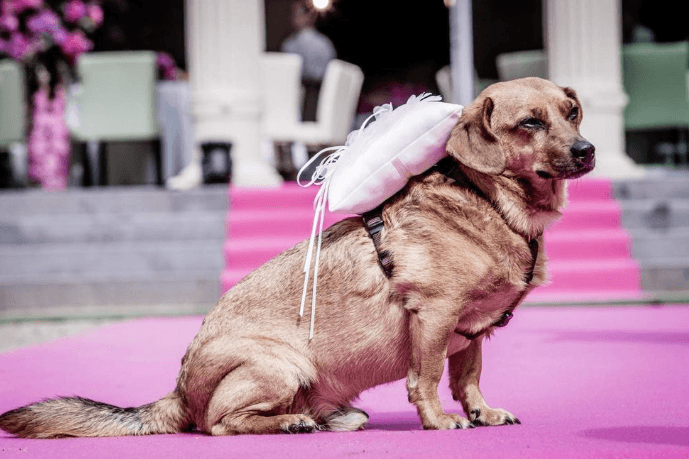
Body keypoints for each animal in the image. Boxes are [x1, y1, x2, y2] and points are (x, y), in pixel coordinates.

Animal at [0, 78, 592, 438]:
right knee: (219, 423)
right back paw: (288, 424)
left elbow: (468, 378)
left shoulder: (470, 333)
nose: (587, 150)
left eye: (572, 113)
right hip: (281, 365)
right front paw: (440, 421)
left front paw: (481, 413)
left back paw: (318, 419)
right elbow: (425, 379)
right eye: (529, 123)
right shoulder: (435, 315)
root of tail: (179, 393)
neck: (492, 203)